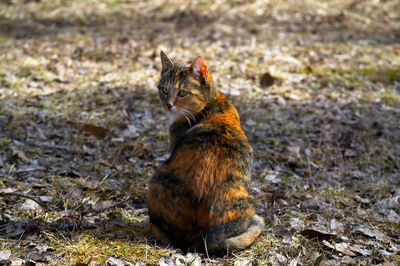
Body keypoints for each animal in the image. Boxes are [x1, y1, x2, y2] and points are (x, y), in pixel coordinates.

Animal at [145, 51, 264, 254]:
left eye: (183, 92)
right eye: (164, 90)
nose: (168, 105)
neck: (212, 102)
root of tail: (199, 239)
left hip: (155, 179)